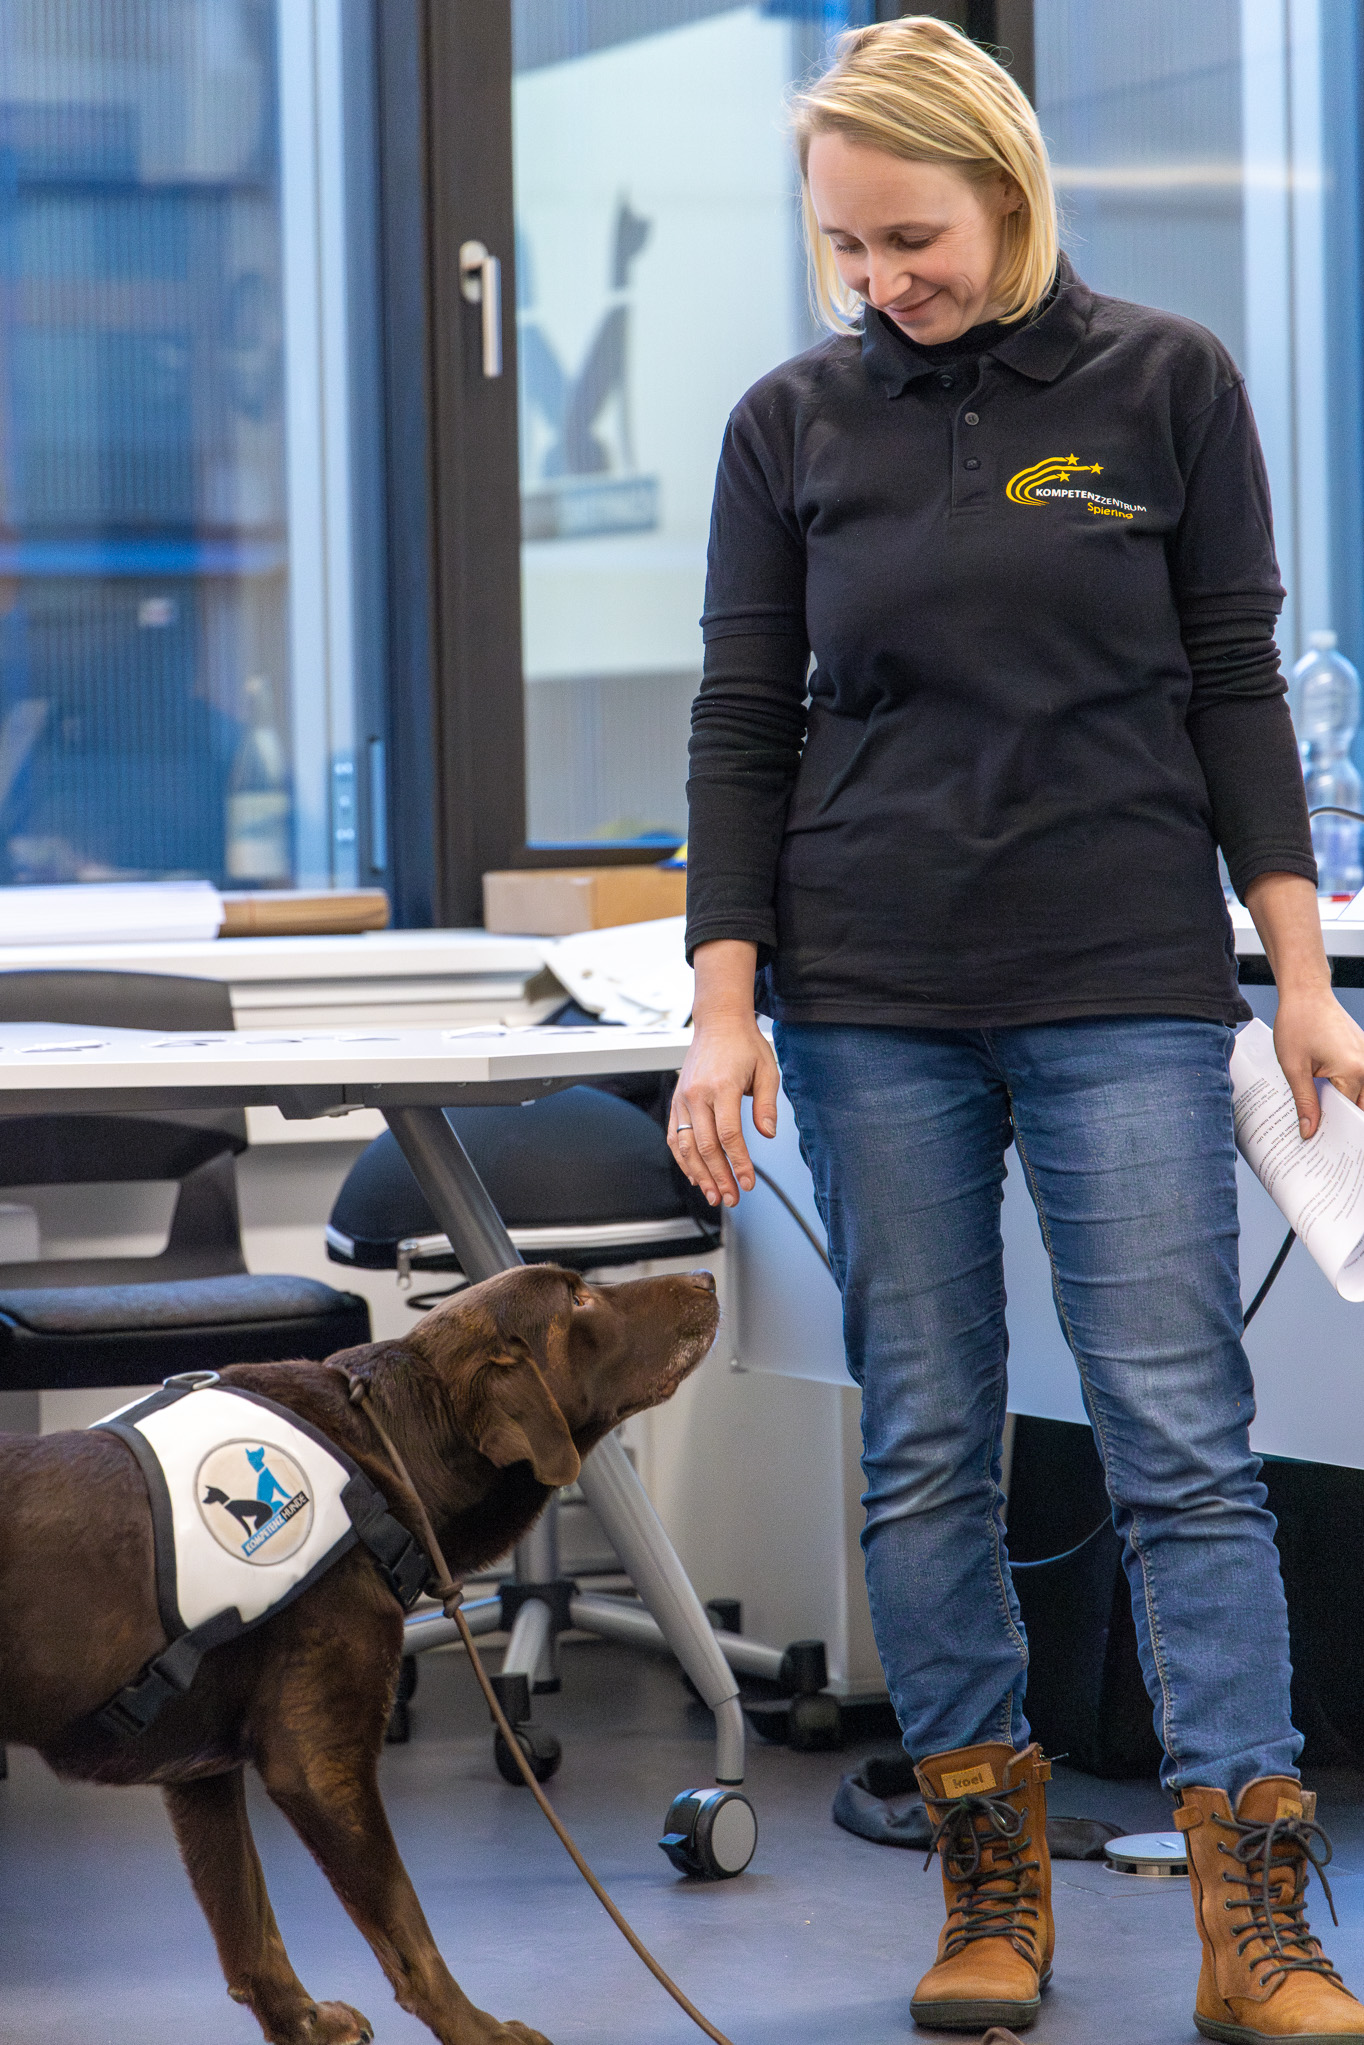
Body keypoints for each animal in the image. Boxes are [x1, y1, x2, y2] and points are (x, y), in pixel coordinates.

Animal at [0, 1262, 721, 2045]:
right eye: (580, 1299)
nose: (708, 1277)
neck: (385, 1450)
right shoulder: (318, 1765)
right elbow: (408, 1932)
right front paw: (478, 2031)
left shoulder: (201, 1770)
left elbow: (248, 1924)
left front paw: (304, 2023)